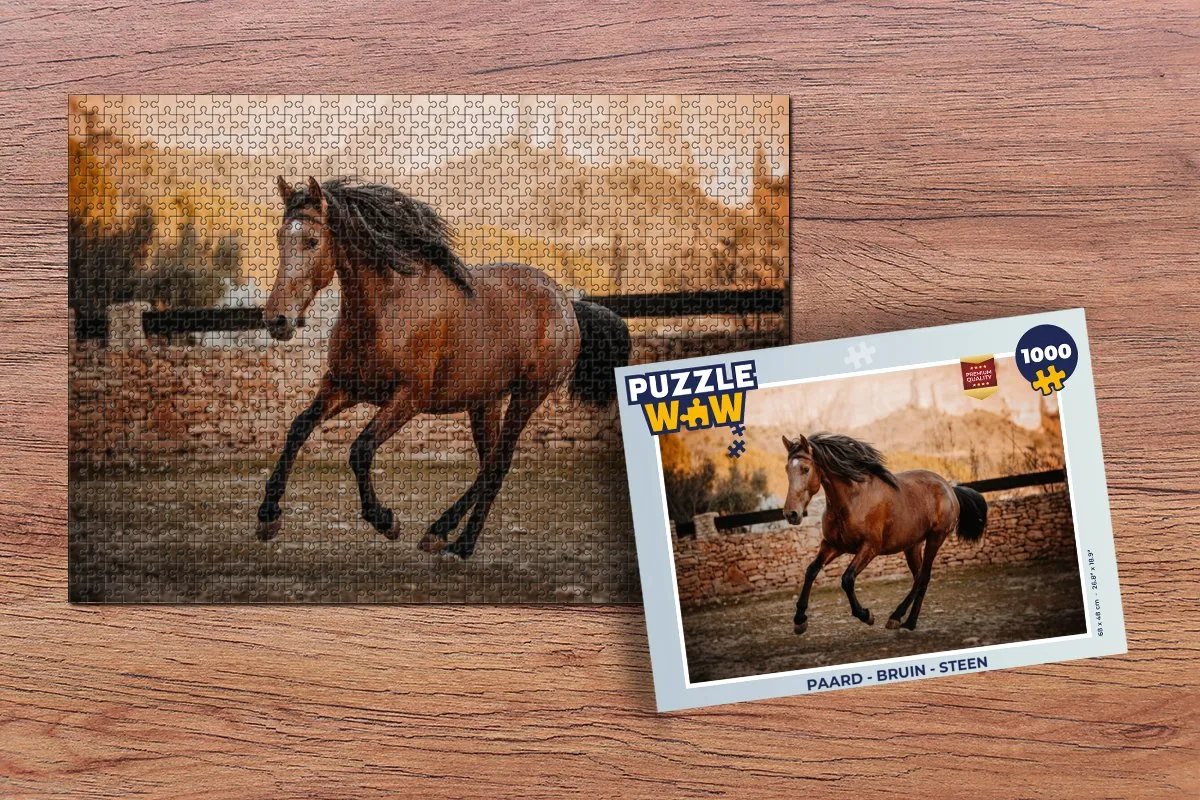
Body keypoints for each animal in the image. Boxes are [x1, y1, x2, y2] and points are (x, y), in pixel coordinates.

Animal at [255, 177, 631, 559]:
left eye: (312, 241)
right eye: (280, 238)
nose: (277, 320)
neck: (386, 309)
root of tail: (567, 303)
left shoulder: (408, 398)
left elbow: (361, 449)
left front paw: (385, 521)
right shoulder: (343, 386)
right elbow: (299, 428)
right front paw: (268, 517)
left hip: (528, 395)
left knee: (499, 464)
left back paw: (453, 539)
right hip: (485, 402)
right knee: (489, 464)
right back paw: (449, 536)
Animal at [781, 433, 988, 632]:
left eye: (805, 469)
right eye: (787, 469)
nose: (791, 514)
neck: (852, 501)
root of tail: (948, 488)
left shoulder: (870, 547)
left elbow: (847, 579)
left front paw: (866, 615)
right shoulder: (833, 545)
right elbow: (811, 571)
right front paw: (799, 620)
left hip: (935, 539)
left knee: (923, 577)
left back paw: (899, 618)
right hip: (912, 545)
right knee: (919, 577)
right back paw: (907, 621)